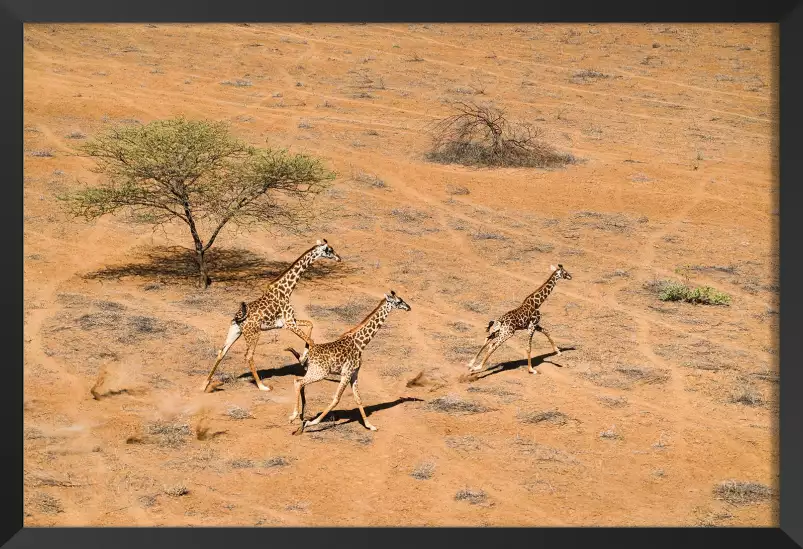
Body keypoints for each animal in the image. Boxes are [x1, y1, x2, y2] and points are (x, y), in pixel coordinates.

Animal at [201, 239, 342, 390]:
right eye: (329, 250)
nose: (339, 258)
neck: (287, 289)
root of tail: (238, 318)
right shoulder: (289, 324)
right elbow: (311, 340)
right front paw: (303, 360)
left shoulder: (289, 321)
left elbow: (310, 325)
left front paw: (302, 359)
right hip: (254, 333)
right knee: (248, 355)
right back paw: (262, 386)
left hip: (235, 331)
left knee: (222, 351)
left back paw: (205, 384)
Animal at [284, 288, 412, 434]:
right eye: (399, 301)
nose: (409, 307)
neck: (361, 343)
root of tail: (309, 355)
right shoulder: (346, 373)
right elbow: (336, 399)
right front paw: (312, 423)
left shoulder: (354, 373)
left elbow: (358, 399)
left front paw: (370, 425)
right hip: (320, 373)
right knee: (298, 382)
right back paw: (294, 417)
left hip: (313, 371)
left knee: (298, 381)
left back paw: (300, 416)